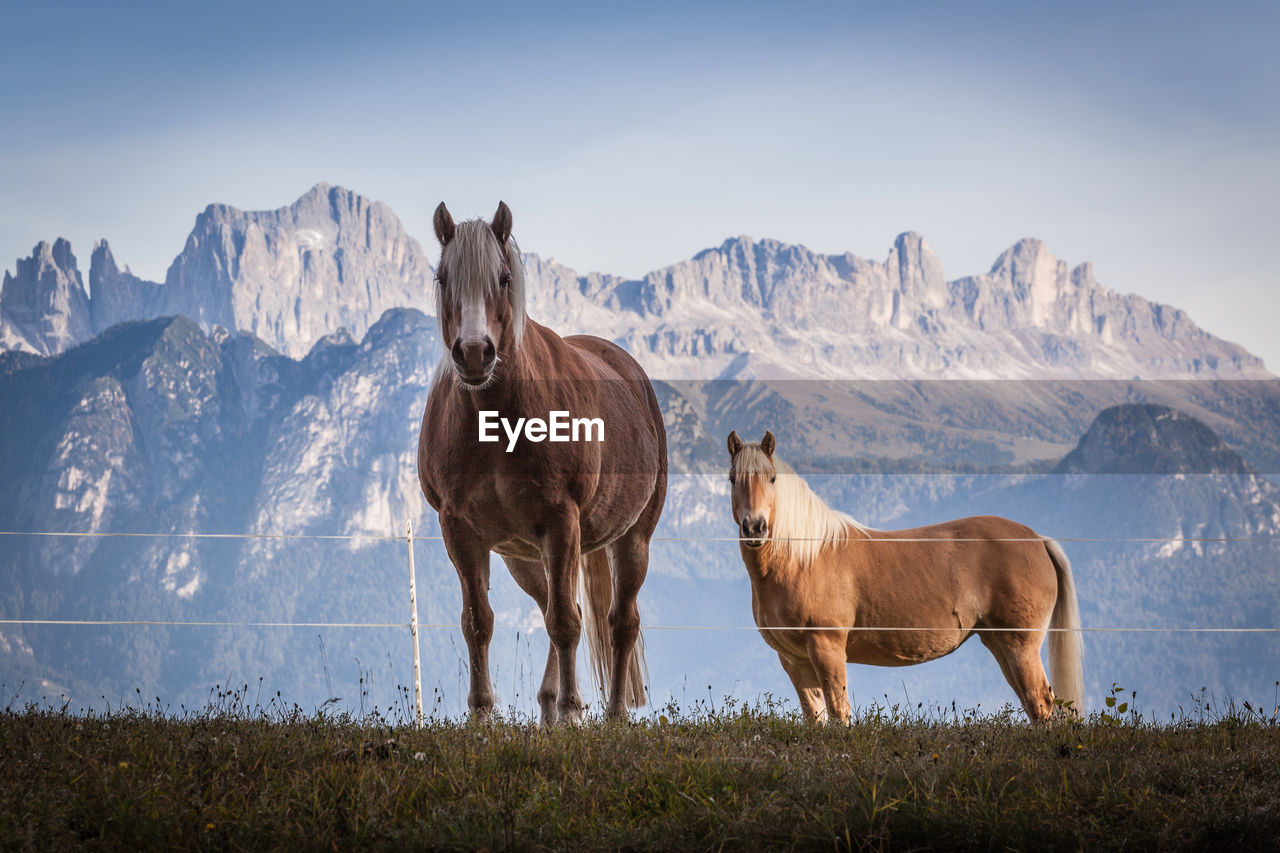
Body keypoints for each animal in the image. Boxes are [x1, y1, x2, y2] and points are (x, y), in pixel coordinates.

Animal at [417, 202, 665, 722]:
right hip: (524, 557)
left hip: (631, 538)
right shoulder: (459, 531)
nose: (475, 353)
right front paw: (482, 714)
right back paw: (550, 707)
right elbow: (478, 622)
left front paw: (572, 710)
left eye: (504, 278)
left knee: (619, 621)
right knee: (557, 606)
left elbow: (567, 623)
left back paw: (611, 713)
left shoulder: (560, 520)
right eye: (443, 278)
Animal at [732, 427, 1080, 722]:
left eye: (772, 478)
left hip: (1021, 644)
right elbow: (815, 717)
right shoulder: (794, 660)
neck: (803, 558)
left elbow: (839, 712)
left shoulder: (826, 647)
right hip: (999, 642)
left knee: (1040, 701)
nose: (755, 527)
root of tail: (1036, 539)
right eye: (733, 478)